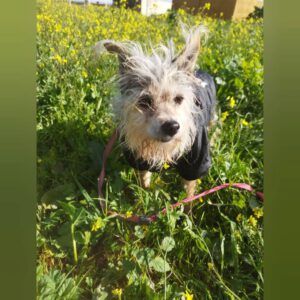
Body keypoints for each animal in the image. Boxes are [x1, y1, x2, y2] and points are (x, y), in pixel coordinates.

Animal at [96, 25, 216, 197]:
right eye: (144, 101)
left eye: (179, 99)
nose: (172, 126)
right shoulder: (138, 157)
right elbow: (144, 177)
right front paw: (145, 192)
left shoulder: (197, 161)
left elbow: (189, 189)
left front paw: (188, 204)